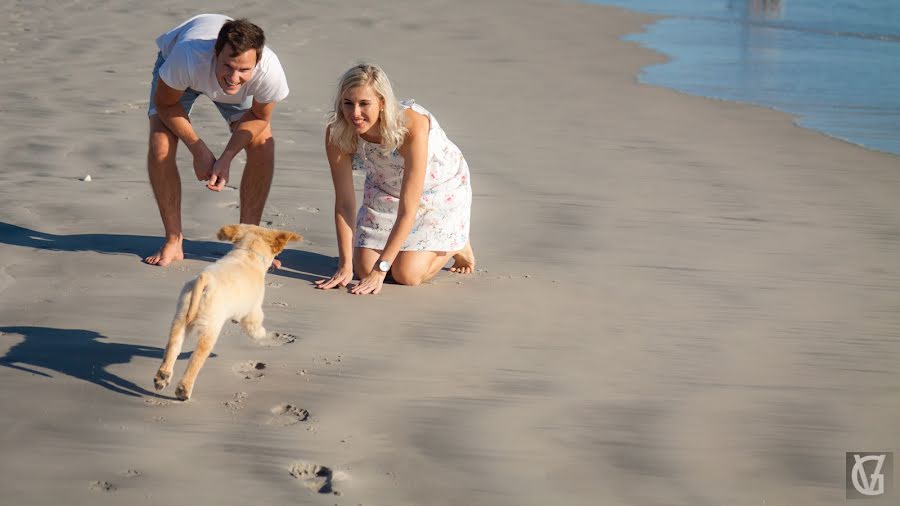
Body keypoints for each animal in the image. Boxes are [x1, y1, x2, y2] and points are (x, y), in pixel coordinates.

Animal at [155, 223, 302, 402]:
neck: (248, 253)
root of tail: (206, 280)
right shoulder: (253, 311)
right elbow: (256, 329)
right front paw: (266, 336)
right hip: (210, 328)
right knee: (196, 359)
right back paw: (184, 389)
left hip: (180, 318)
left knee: (172, 347)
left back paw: (162, 377)